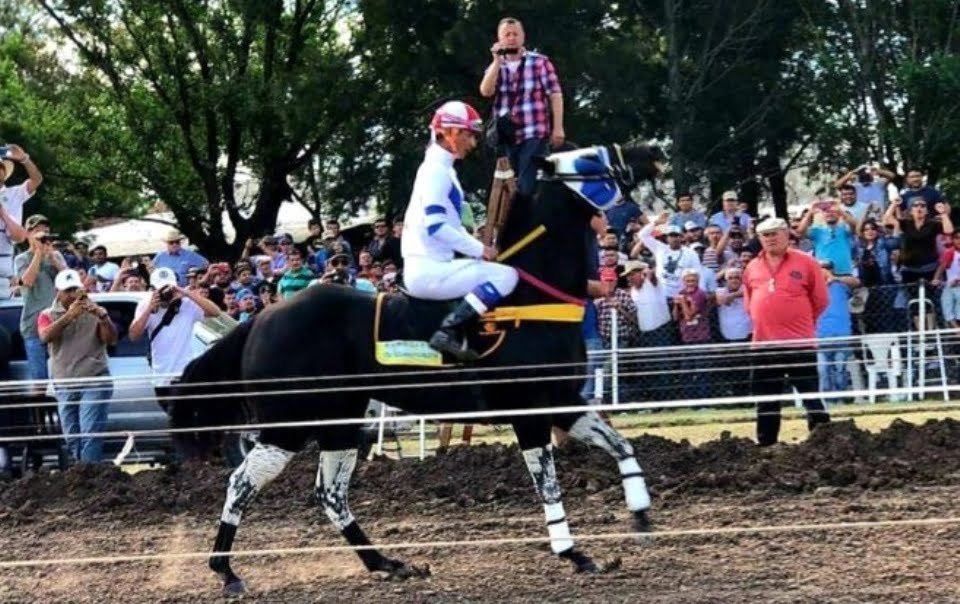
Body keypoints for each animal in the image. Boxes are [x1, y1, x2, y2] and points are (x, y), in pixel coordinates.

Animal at [174, 143, 668, 596]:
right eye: (590, 158)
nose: (651, 152)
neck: (530, 298)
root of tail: (260, 317)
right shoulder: (526, 408)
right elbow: (547, 483)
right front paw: (572, 551)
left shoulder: (562, 399)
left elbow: (620, 445)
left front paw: (641, 513)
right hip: (288, 423)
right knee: (242, 482)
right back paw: (226, 570)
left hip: (340, 420)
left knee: (330, 494)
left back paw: (386, 563)